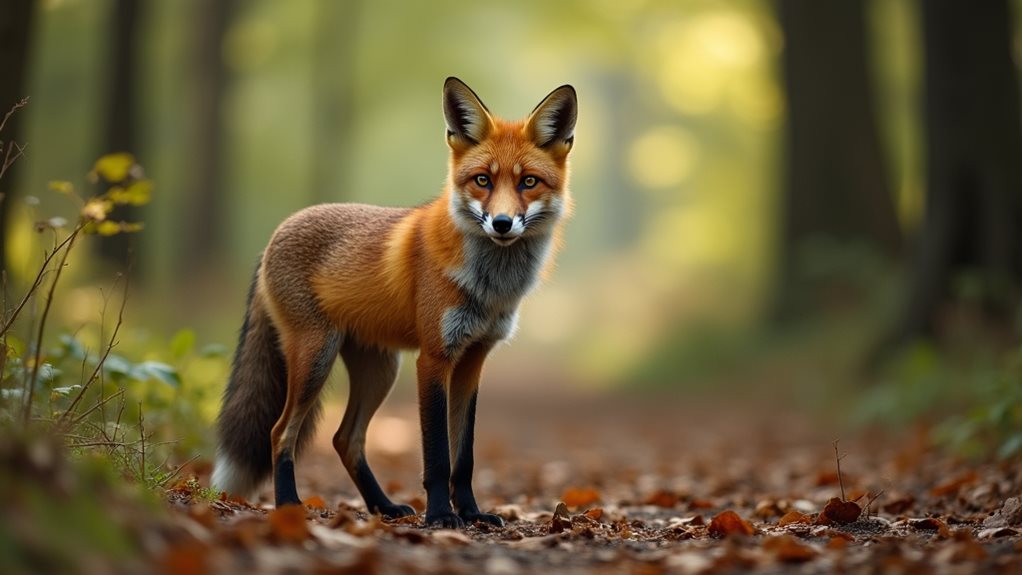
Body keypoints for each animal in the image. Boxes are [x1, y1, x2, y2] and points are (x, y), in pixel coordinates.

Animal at [211, 77, 577, 528]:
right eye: (482, 181)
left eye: (528, 182)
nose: (503, 223)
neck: (490, 285)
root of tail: (274, 235)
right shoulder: (434, 358)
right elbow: (437, 456)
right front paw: (440, 515)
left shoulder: (472, 360)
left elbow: (464, 457)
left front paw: (471, 512)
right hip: (316, 357)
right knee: (281, 432)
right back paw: (289, 505)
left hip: (379, 369)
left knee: (345, 439)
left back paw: (383, 507)